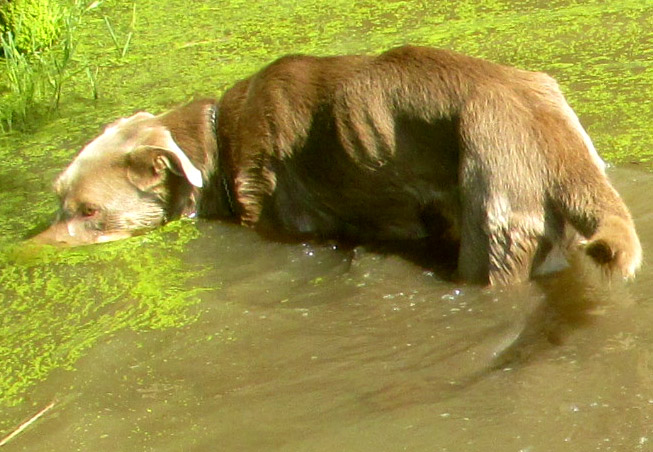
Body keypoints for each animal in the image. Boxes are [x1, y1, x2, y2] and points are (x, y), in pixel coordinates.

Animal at [33, 46, 640, 286]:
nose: (23, 254)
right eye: (58, 197)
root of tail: (553, 138)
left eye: (89, 211)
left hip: (494, 213)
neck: (217, 144)